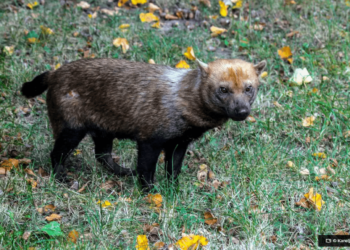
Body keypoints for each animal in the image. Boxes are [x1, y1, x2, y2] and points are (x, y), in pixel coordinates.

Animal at [21, 58, 266, 191]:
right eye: (223, 89)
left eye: (249, 88)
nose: (242, 112)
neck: (181, 100)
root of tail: (54, 74)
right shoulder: (150, 140)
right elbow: (146, 170)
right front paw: (151, 192)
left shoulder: (179, 143)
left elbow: (173, 169)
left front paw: (173, 188)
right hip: (71, 130)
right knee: (57, 154)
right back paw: (61, 178)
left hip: (103, 130)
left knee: (102, 155)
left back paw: (122, 172)